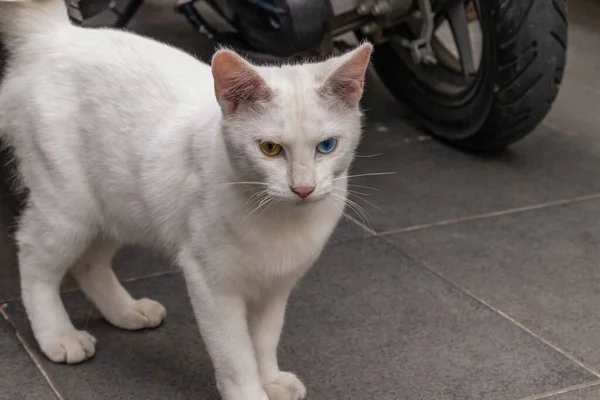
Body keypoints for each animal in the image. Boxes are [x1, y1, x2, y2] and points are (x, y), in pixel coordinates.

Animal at [0, 1, 372, 398]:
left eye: (326, 146)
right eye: (270, 149)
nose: (303, 188)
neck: (279, 219)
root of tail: (57, 34)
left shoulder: (275, 287)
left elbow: (264, 340)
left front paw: (270, 379)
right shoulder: (212, 285)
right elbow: (236, 355)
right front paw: (251, 391)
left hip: (116, 206)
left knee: (89, 263)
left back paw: (126, 311)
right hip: (69, 209)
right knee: (34, 260)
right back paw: (58, 336)